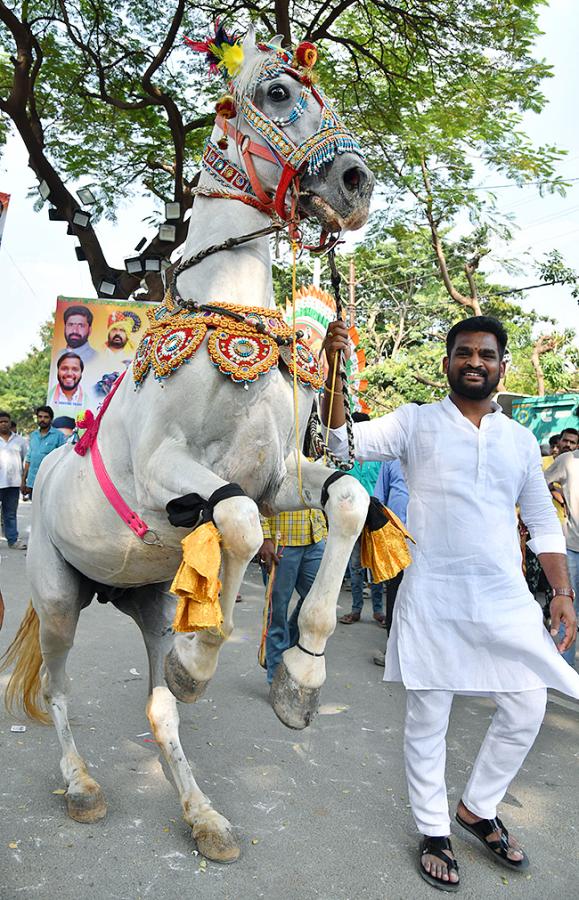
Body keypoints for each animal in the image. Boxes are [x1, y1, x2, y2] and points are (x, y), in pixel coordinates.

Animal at [2, 28, 374, 860]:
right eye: (277, 92)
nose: (355, 182)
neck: (228, 321)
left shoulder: (283, 478)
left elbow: (348, 502)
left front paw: (299, 678)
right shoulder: (163, 477)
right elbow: (233, 522)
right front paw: (202, 658)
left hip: (145, 599)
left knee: (157, 708)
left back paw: (203, 815)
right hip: (58, 594)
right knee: (58, 688)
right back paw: (83, 785)